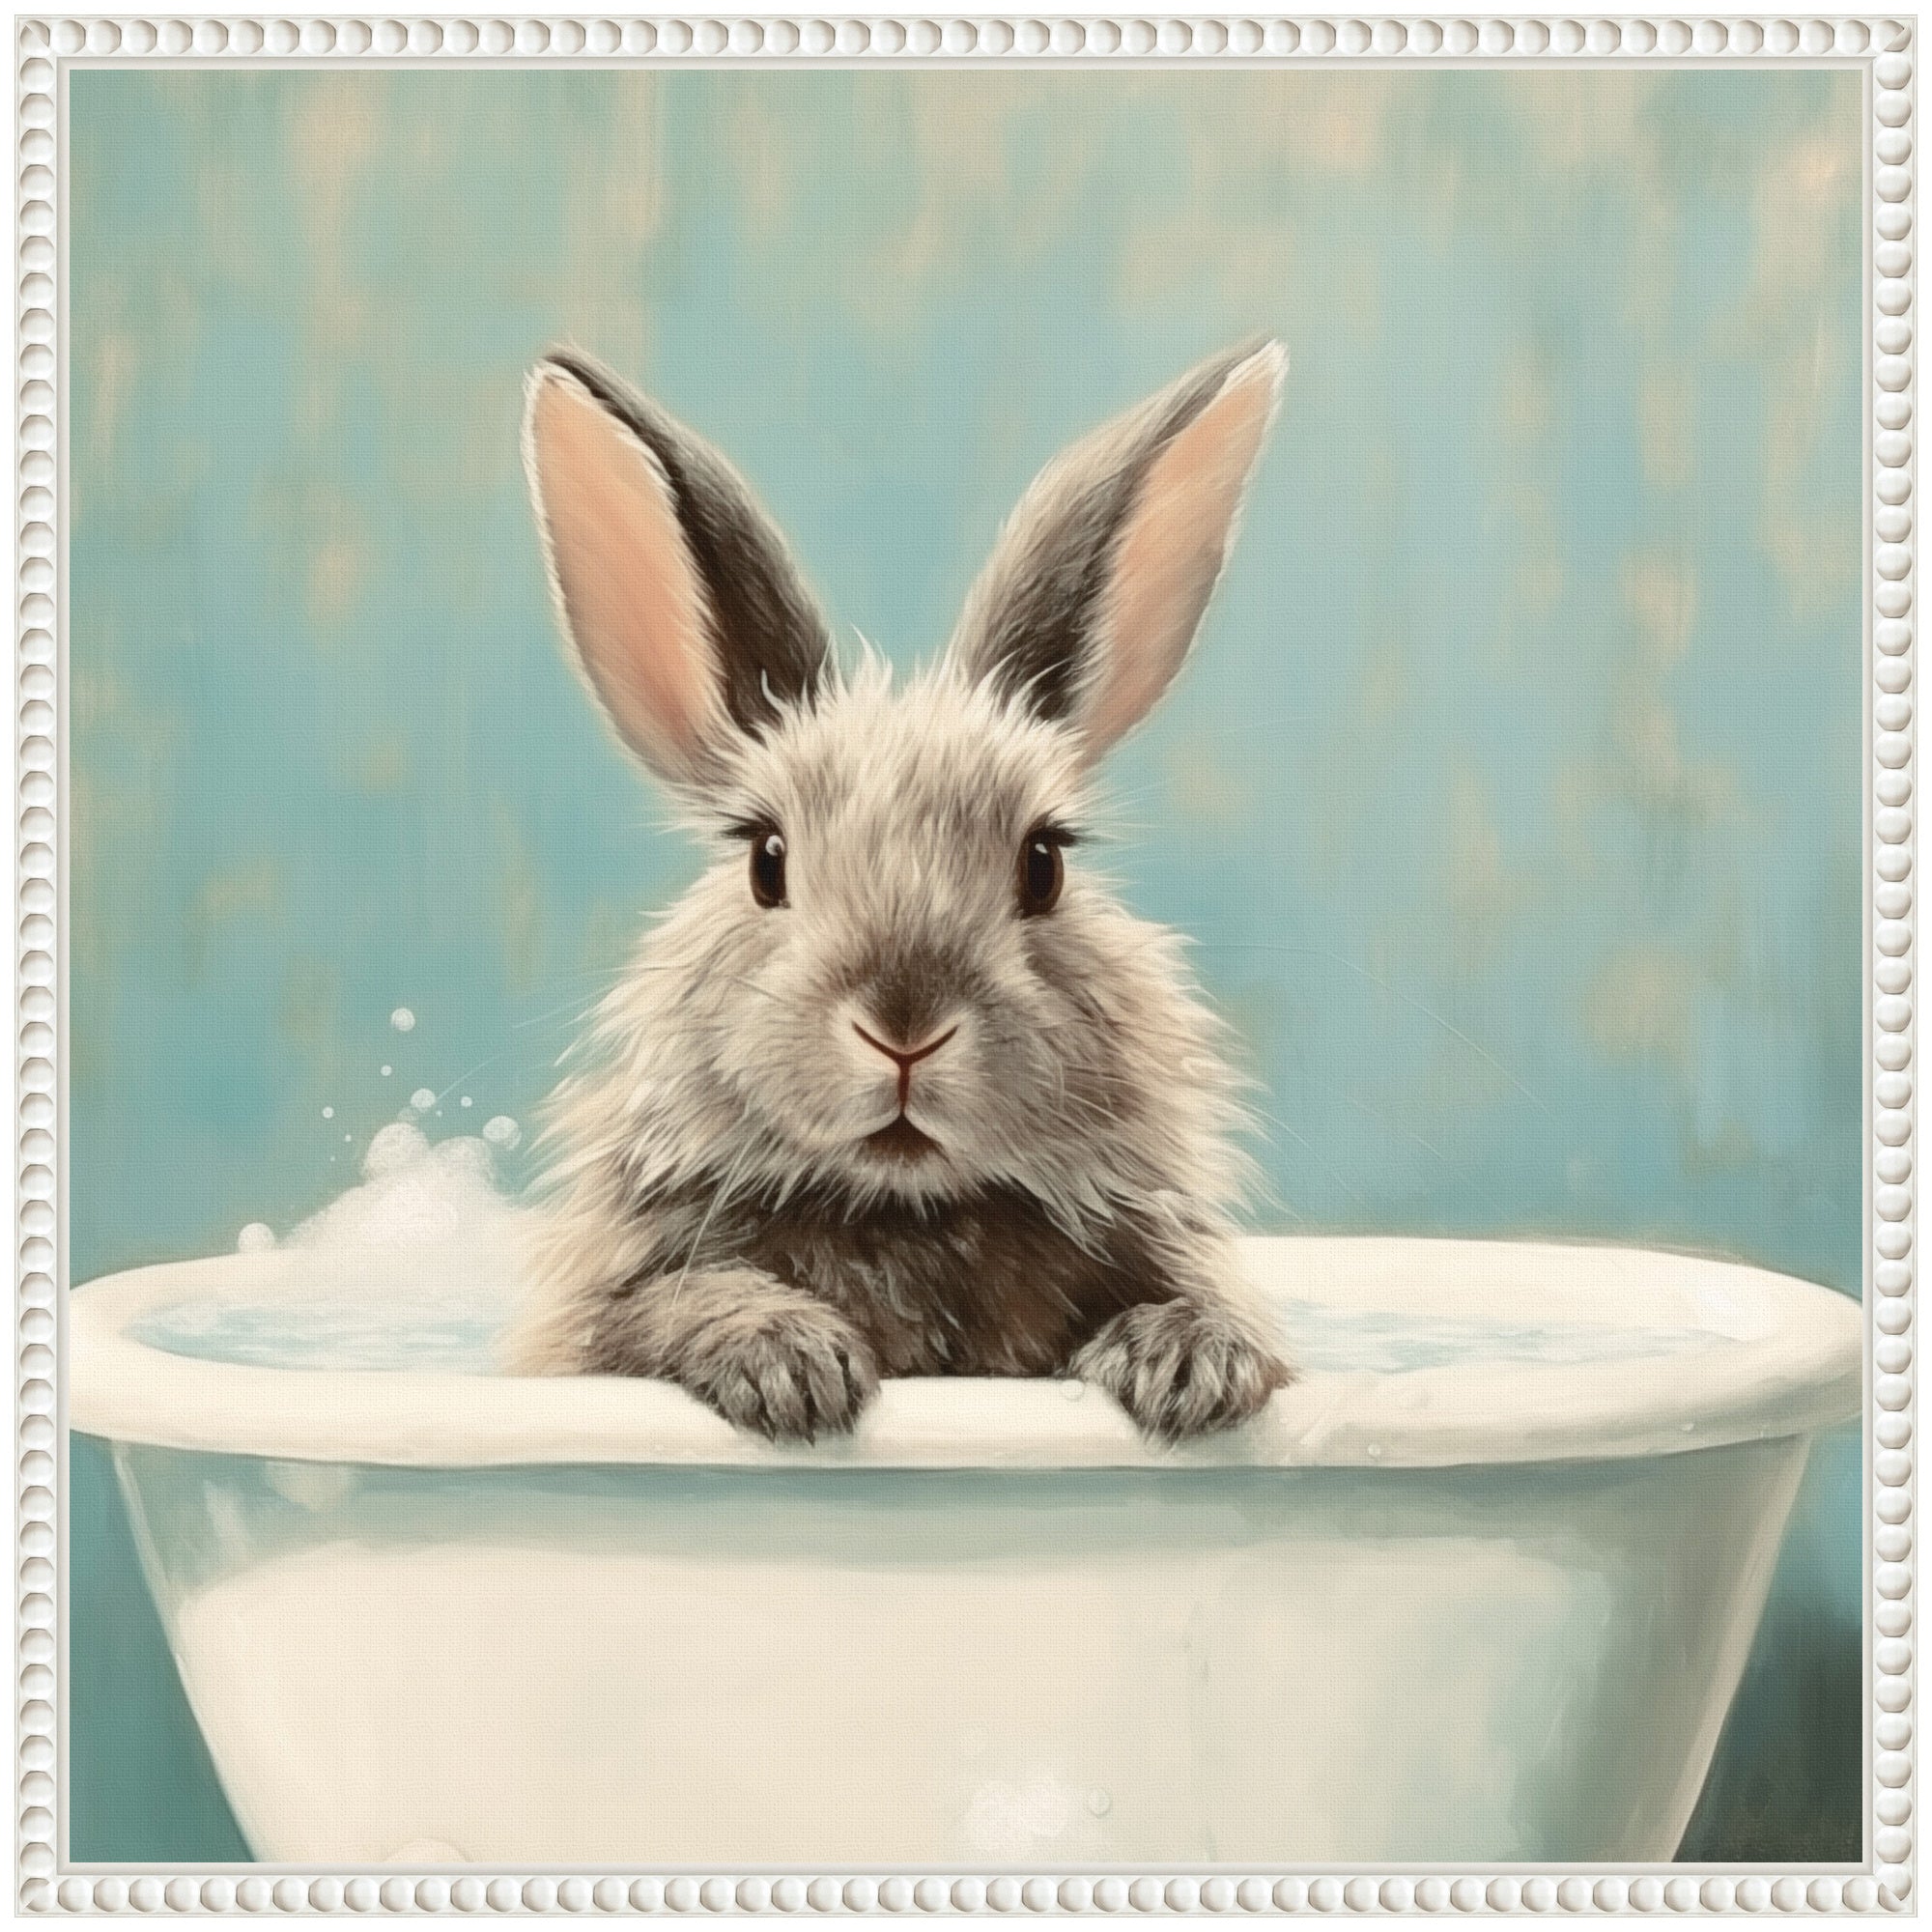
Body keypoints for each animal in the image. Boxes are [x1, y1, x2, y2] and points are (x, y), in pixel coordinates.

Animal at [503, 339, 1295, 1445]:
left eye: (1044, 861)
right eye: (766, 860)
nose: (905, 1027)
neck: (905, 1208)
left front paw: (1187, 1363)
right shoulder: (607, 1312)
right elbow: (675, 1304)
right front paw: (790, 1364)